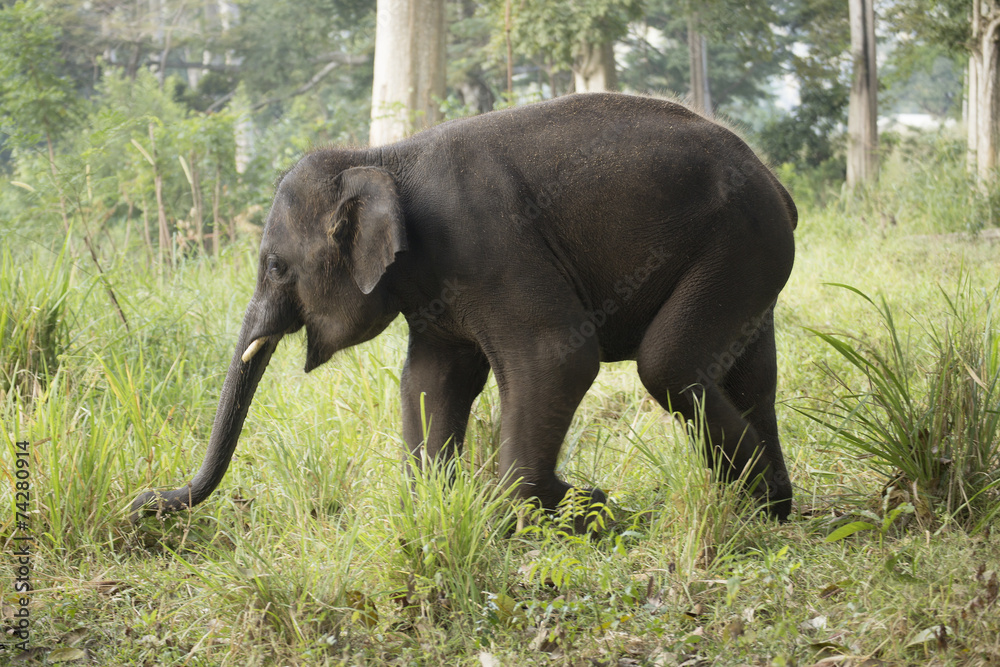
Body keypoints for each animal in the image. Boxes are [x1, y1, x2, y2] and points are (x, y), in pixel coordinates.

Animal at [130, 92, 797, 526]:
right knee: (752, 376)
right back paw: (770, 509)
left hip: (739, 242)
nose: (141, 503)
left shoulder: (492, 248)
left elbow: (557, 355)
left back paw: (753, 499)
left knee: (668, 365)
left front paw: (558, 510)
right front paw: (445, 502)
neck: (381, 156)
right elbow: (430, 381)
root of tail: (775, 181)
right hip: (748, 258)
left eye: (274, 266)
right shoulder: (434, 294)